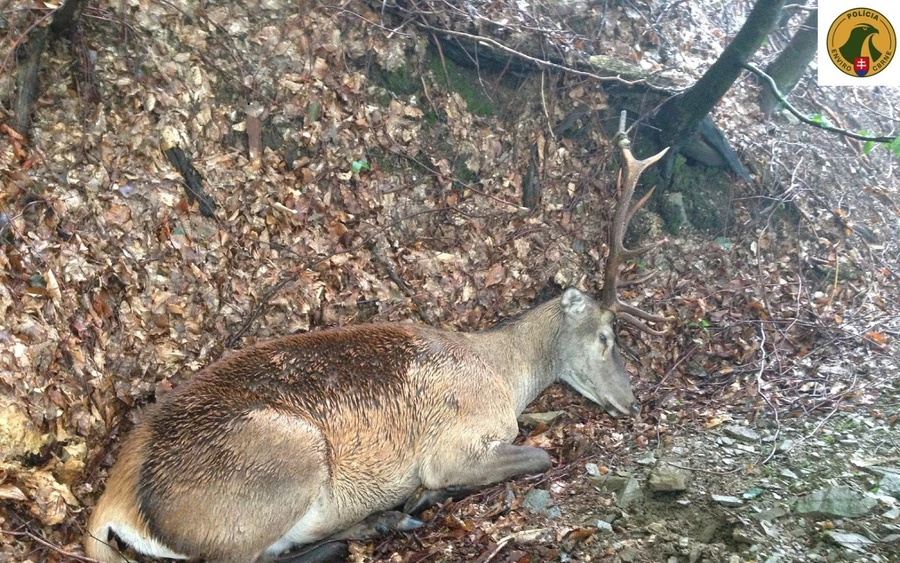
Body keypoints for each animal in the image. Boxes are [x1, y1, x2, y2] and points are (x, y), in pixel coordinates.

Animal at [86, 123, 668, 563]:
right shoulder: (455, 442)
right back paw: (384, 521)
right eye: (606, 337)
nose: (633, 402)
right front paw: (425, 495)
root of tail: (116, 501)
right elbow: (536, 457)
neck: (504, 373)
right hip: (284, 460)